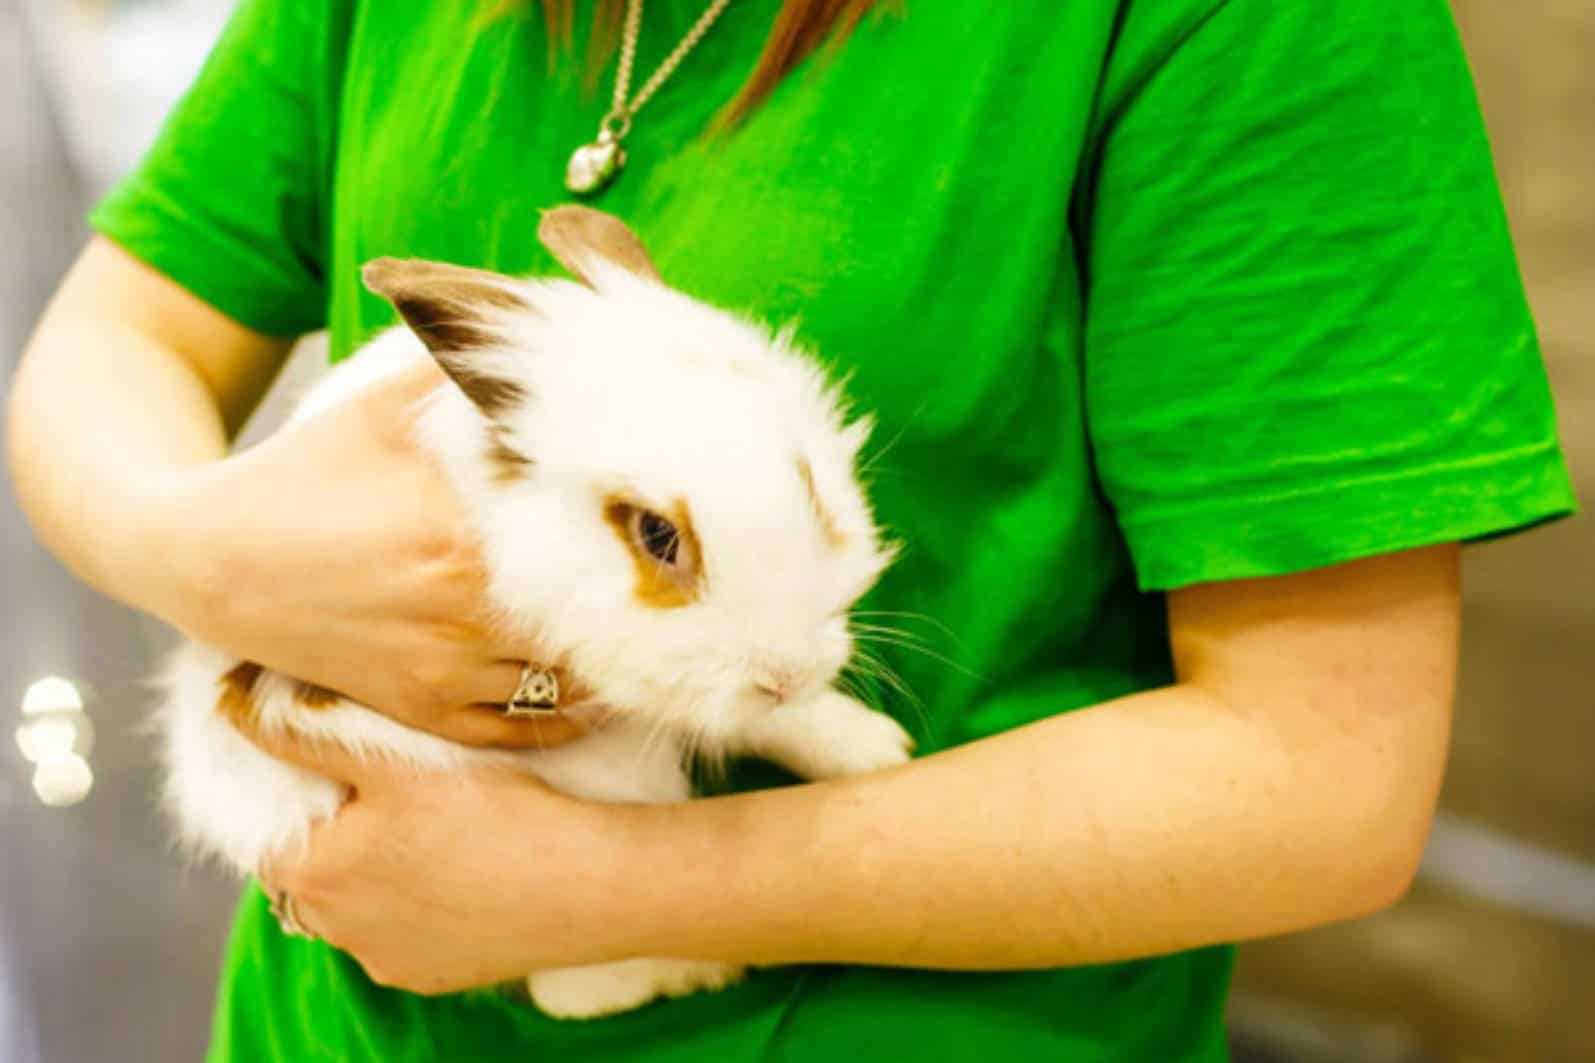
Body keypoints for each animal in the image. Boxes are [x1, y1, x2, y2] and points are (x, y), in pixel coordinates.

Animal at [158, 204, 925, 1021]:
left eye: (809, 483)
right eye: (656, 533)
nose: (786, 672)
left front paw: (875, 751)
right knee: (568, 990)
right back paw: (701, 970)